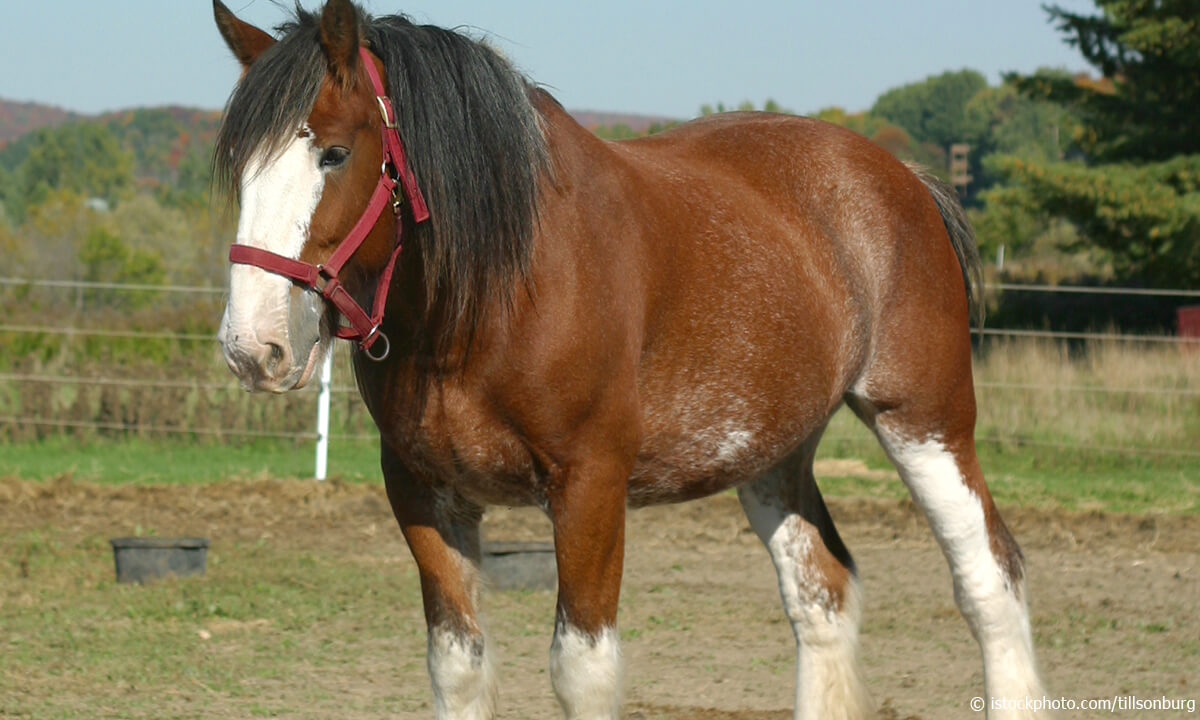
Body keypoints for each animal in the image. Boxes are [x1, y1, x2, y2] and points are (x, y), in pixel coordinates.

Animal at [211, 1, 1046, 718]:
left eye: (334, 152)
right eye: (241, 168)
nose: (254, 345)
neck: (495, 293)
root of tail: (906, 180)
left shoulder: (589, 487)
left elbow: (583, 670)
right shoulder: (423, 493)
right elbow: (458, 666)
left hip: (925, 422)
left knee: (989, 579)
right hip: (774, 454)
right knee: (823, 595)